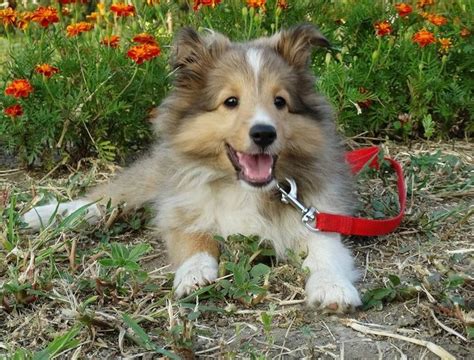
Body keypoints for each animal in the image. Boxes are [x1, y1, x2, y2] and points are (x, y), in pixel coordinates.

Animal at [23, 24, 362, 312]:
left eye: (280, 101)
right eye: (230, 101)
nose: (264, 134)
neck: (242, 188)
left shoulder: (315, 215)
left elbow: (325, 252)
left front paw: (333, 288)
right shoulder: (181, 206)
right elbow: (193, 240)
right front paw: (195, 275)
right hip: (150, 176)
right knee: (105, 198)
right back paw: (47, 214)